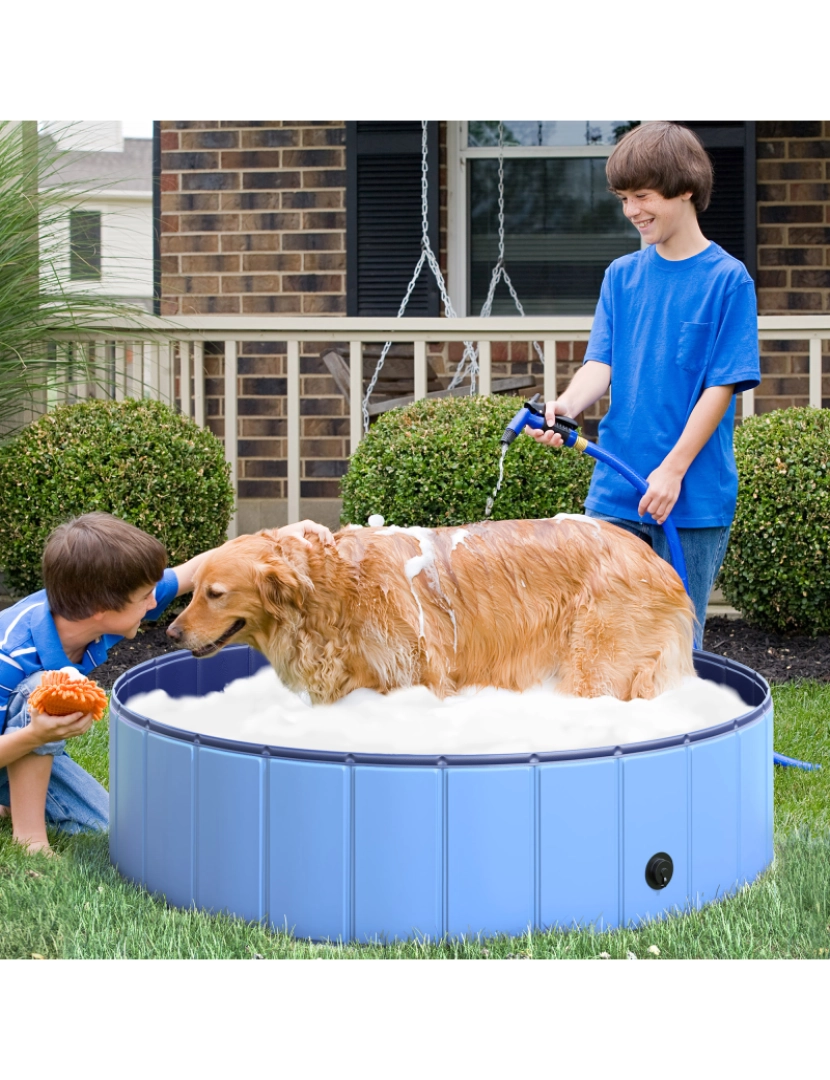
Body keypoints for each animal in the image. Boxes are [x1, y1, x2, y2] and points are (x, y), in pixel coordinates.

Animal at [165, 516, 695, 704]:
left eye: (215, 593)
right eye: (194, 590)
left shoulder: (419, 678)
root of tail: (660, 563)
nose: (170, 633)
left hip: (596, 666)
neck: (337, 590)